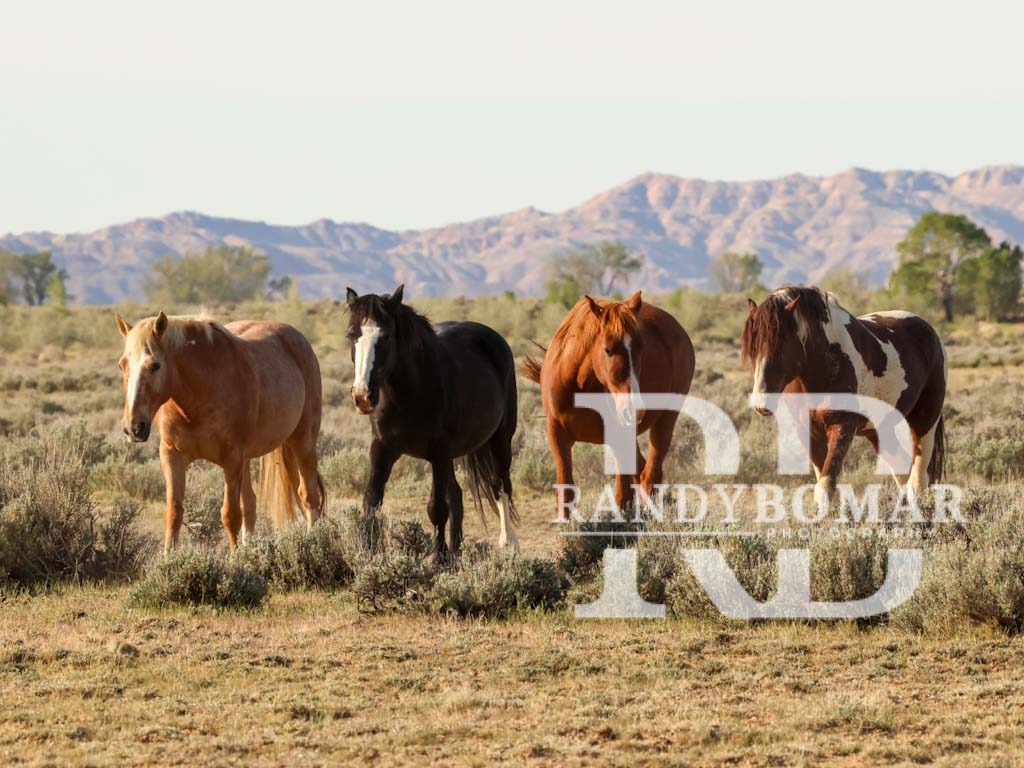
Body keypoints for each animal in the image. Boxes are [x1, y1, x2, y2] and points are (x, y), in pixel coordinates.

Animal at [114, 312, 325, 552]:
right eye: (122, 365)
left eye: (155, 365)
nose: (133, 427)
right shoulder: (171, 455)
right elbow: (173, 513)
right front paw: (169, 557)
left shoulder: (231, 459)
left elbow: (230, 515)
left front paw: (236, 560)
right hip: (248, 459)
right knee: (250, 505)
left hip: (303, 442)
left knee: (308, 496)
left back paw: (313, 543)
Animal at [345, 285, 519, 560]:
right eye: (352, 335)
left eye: (385, 337)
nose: (362, 396)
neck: (409, 392)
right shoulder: (383, 447)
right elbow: (371, 500)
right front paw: (369, 555)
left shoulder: (439, 452)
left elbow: (436, 508)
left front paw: (438, 558)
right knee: (457, 495)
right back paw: (457, 551)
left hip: (500, 439)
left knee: (501, 484)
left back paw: (508, 542)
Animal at [524, 291, 696, 509]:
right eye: (608, 350)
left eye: (642, 349)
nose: (634, 408)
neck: (579, 384)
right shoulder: (557, 433)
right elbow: (565, 491)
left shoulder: (618, 433)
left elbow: (623, 494)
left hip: (665, 420)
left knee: (649, 476)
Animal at [741, 285, 947, 505]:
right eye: (752, 349)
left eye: (781, 346)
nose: (761, 402)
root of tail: (929, 330)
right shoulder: (809, 431)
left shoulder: (842, 427)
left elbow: (825, 487)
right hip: (879, 429)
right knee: (902, 472)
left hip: (925, 420)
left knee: (917, 479)